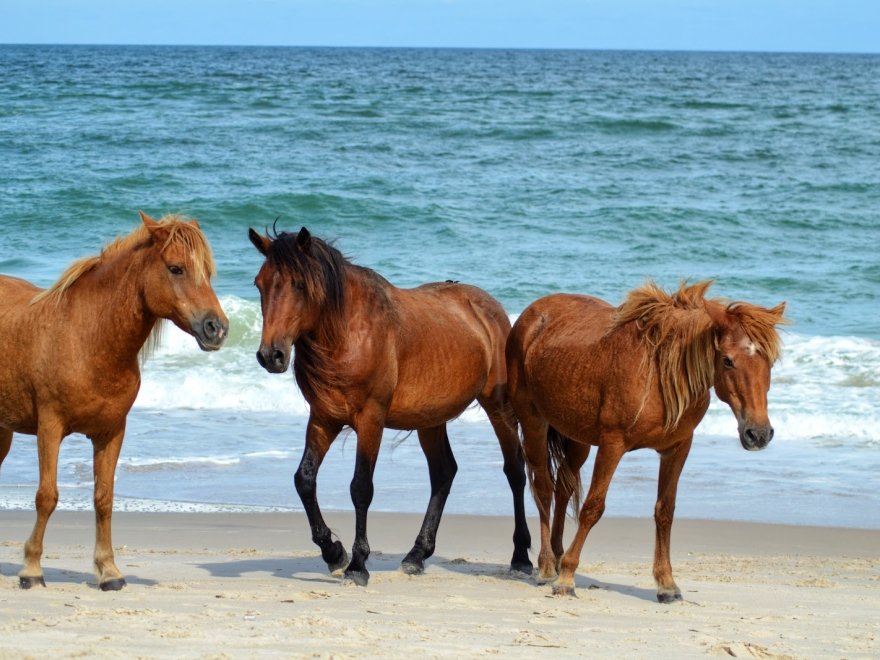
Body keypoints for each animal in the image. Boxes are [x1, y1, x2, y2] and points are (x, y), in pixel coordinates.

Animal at [0, 214, 227, 592]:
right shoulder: (50, 427)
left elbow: (103, 498)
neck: (88, 337)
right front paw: (31, 570)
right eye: (176, 268)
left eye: (207, 272)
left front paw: (109, 571)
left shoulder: (111, 432)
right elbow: (47, 496)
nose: (217, 328)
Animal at [251, 228, 532, 588]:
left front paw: (357, 564)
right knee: (444, 472)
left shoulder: (371, 419)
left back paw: (521, 557)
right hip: (430, 419)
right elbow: (305, 479)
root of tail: (492, 309)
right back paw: (416, 555)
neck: (348, 333)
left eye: (299, 284)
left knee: (515, 470)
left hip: (498, 407)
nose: (271, 355)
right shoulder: (324, 418)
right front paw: (333, 552)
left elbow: (361, 487)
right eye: (259, 284)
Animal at [506, 282, 788, 600]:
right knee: (543, 488)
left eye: (770, 362)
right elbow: (593, 507)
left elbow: (665, 511)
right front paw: (567, 578)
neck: (660, 375)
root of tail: (531, 314)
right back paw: (546, 567)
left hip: (577, 436)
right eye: (728, 360)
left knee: (563, 486)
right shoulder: (612, 445)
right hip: (534, 422)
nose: (758, 433)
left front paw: (666, 583)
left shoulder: (677, 449)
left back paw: (556, 556)